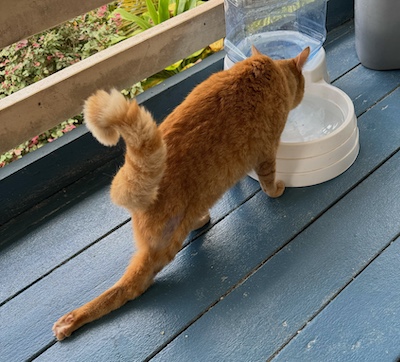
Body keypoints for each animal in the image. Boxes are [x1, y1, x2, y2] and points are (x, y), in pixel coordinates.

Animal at [52, 46, 310, 340]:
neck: (268, 69)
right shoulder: (267, 153)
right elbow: (268, 182)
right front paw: (277, 189)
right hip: (163, 247)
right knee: (130, 287)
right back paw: (72, 320)